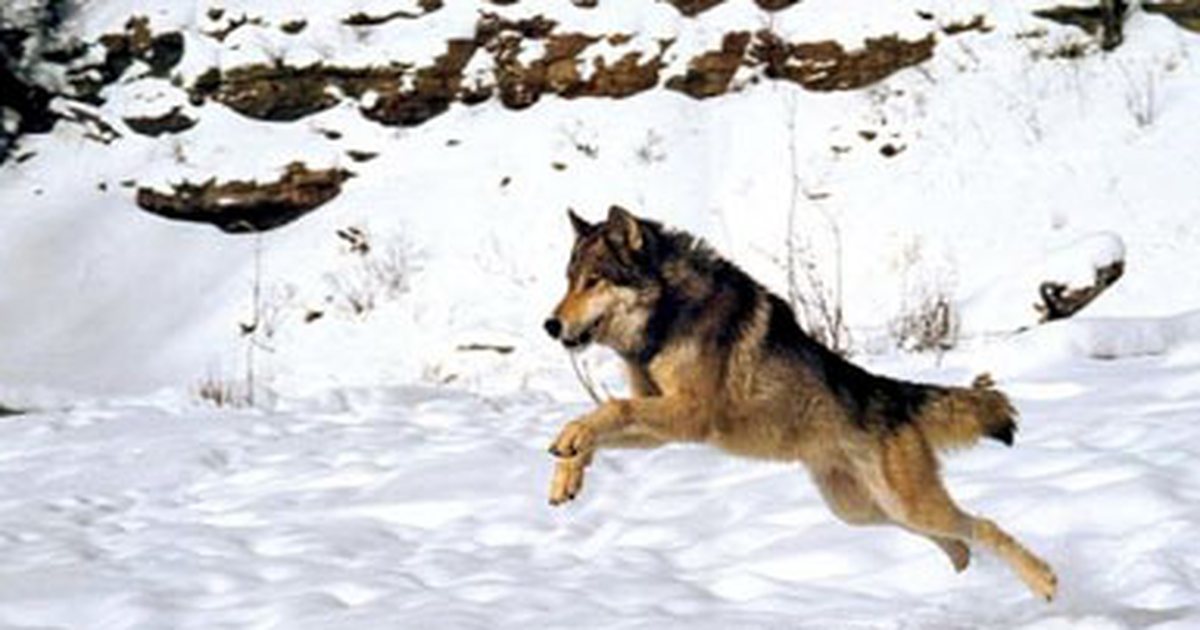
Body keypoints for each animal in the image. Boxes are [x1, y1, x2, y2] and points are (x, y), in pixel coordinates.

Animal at [544, 205, 1060, 600]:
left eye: (594, 281)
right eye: (568, 281)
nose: (550, 325)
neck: (667, 315)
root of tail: (891, 393)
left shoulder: (692, 415)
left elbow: (609, 410)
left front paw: (570, 443)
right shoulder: (660, 419)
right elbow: (599, 426)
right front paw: (567, 473)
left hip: (904, 506)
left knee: (983, 526)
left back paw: (1044, 582)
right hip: (865, 511)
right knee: (958, 542)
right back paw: (965, 578)